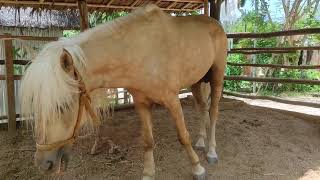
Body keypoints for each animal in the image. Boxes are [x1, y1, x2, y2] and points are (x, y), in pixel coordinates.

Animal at [20, 3, 228, 180]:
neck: (140, 51)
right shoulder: (142, 103)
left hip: (217, 77)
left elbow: (183, 136)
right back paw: (200, 141)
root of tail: (215, 23)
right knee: (202, 108)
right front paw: (148, 173)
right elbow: (147, 140)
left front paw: (197, 168)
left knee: (213, 111)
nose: (43, 164)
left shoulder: (172, 100)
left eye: (62, 106)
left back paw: (211, 151)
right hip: (196, 82)